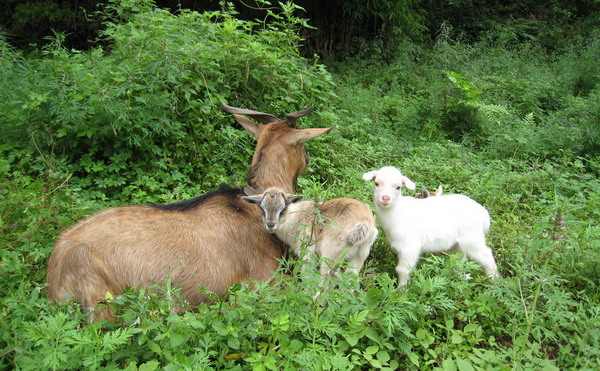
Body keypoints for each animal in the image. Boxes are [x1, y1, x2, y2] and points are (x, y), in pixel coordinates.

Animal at [45, 102, 332, 320]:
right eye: (303, 146)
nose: (308, 160)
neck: (253, 206)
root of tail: (57, 267)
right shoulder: (267, 281)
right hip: (105, 304)